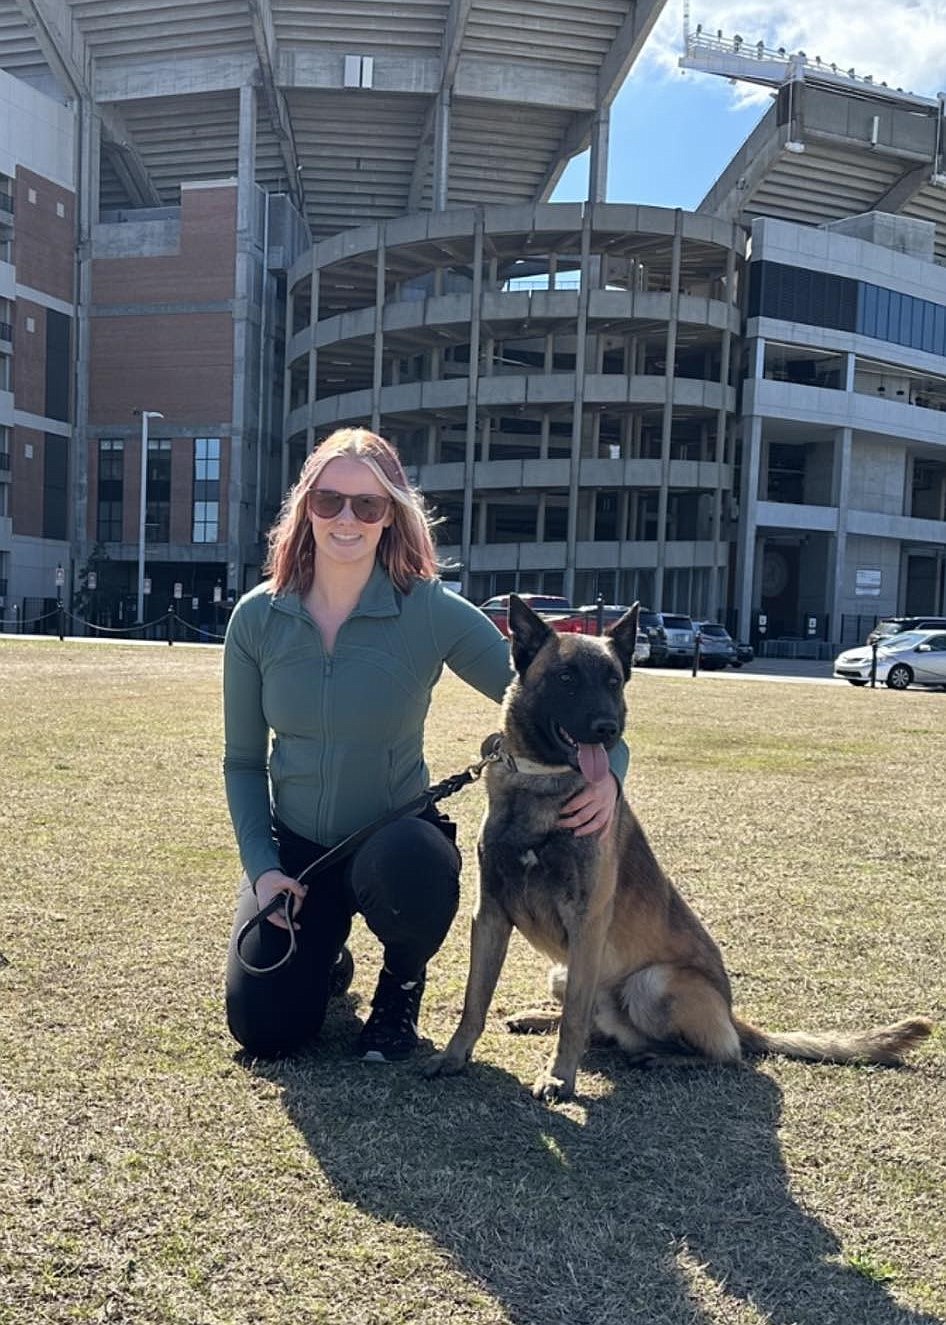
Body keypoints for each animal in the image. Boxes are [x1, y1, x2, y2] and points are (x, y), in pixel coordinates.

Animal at [423, 596, 932, 1102]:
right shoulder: (489, 915)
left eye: (613, 681)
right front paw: (455, 1056)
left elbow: (572, 1023)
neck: (542, 782)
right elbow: (475, 1000)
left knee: (722, 1053)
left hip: (651, 983)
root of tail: (731, 1014)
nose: (608, 729)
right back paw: (540, 1019)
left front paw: (559, 1077)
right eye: (565, 679)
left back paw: (660, 1056)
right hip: (563, 974)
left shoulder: (587, 924)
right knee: (598, 1027)